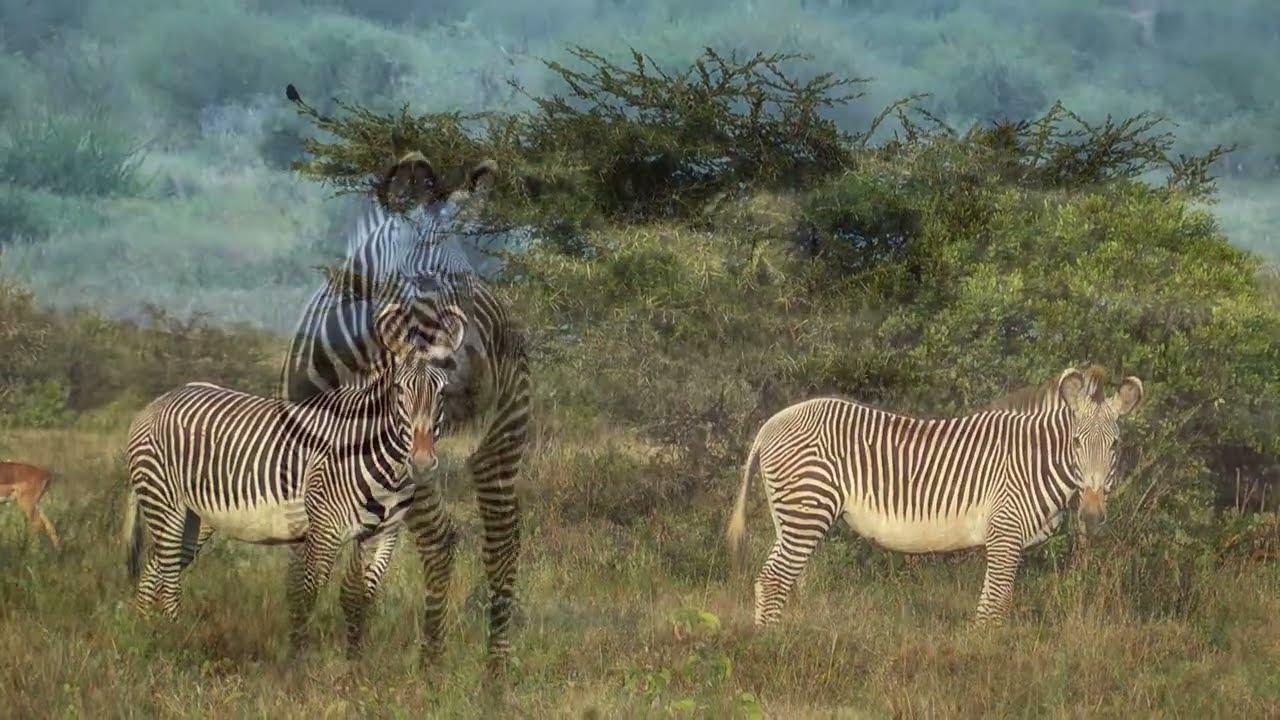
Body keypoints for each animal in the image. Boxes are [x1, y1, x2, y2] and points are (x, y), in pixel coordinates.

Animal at [122, 300, 465, 656]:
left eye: (442, 393)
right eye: (399, 391)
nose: (422, 464)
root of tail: (158, 402)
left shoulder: (384, 535)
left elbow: (360, 599)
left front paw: (355, 662)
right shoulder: (325, 530)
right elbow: (308, 596)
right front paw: (299, 659)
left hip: (197, 519)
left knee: (154, 569)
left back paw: (147, 636)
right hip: (165, 502)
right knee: (167, 575)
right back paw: (174, 639)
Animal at [279, 151, 530, 673]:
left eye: (470, 283)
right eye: (427, 285)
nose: (480, 377)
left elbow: (357, 586)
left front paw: (352, 670)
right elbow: (301, 579)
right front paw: (299, 657)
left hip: (496, 443)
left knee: (493, 544)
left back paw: (479, 671)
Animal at [725, 364, 1144, 628]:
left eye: (1115, 444)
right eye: (1076, 443)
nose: (1091, 516)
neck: (1032, 460)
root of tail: (771, 423)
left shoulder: (1004, 541)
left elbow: (990, 605)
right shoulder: (1004, 534)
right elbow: (996, 608)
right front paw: (988, 663)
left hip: (791, 515)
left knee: (778, 578)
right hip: (807, 509)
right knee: (774, 579)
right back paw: (771, 643)